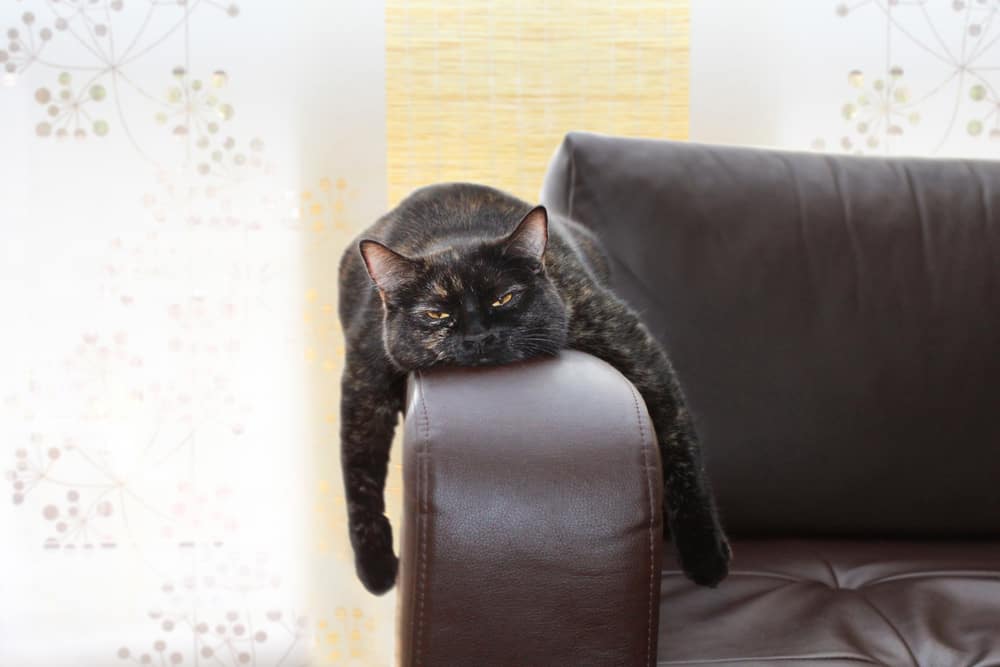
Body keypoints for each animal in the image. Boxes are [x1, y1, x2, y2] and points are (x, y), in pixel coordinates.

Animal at [340, 183, 732, 596]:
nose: (477, 335)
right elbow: (359, 478)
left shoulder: (638, 352)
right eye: (436, 314)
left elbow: (681, 452)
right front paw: (376, 566)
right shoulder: (364, 382)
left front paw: (705, 555)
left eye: (504, 298)